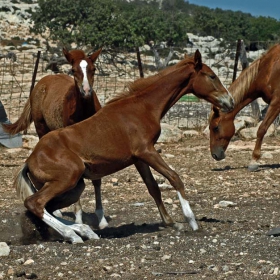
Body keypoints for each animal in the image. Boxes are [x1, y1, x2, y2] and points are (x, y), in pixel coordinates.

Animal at [1, 47, 107, 228]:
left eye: (93, 69)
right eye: (73, 70)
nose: (86, 91)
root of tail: (42, 82)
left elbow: (97, 179)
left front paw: (101, 219)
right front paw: (79, 217)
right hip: (41, 128)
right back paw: (54, 210)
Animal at [13, 49, 234, 243]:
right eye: (212, 76)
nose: (230, 101)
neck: (142, 107)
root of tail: (29, 161)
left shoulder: (139, 158)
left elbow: (153, 187)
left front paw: (172, 223)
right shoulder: (147, 151)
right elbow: (174, 178)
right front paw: (192, 222)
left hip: (75, 186)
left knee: (46, 208)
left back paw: (85, 231)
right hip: (69, 177)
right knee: (35, 204)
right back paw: (74, 236)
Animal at [209, 43, 280, 171]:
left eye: (215, 128)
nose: (215, 155)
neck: (270, 69)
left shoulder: (276, 102)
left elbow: (261, 129)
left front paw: (254, 160)